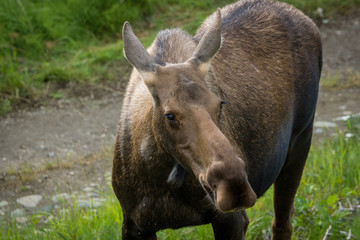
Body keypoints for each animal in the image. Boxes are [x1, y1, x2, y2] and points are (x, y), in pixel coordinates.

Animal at [112, 0, 320, 238]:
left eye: (220, 104)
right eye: (170, 115)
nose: (234, 185)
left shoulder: (229, 219)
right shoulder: (133, 224)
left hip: (301, 139)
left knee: (282, 223)